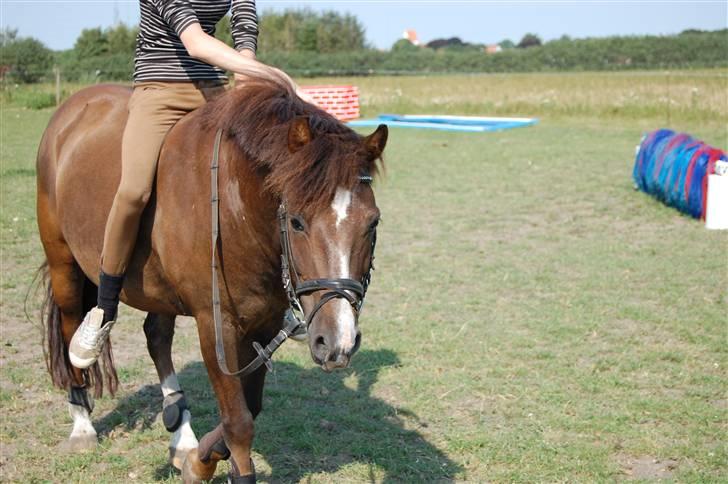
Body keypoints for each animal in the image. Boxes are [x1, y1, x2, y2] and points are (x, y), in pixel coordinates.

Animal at [35, 78, 388, 482]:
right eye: (297, 221)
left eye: (372, 223)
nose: (336, 342)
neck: (237, 209)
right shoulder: (214, 324)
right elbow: (239, 422)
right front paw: (211, 465)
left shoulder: (265, 324)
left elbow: (251, 407)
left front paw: (198, 458)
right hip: (63, 261)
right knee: (70, 325)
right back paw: (82, 421)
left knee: (157, 336)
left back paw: (180, 428)